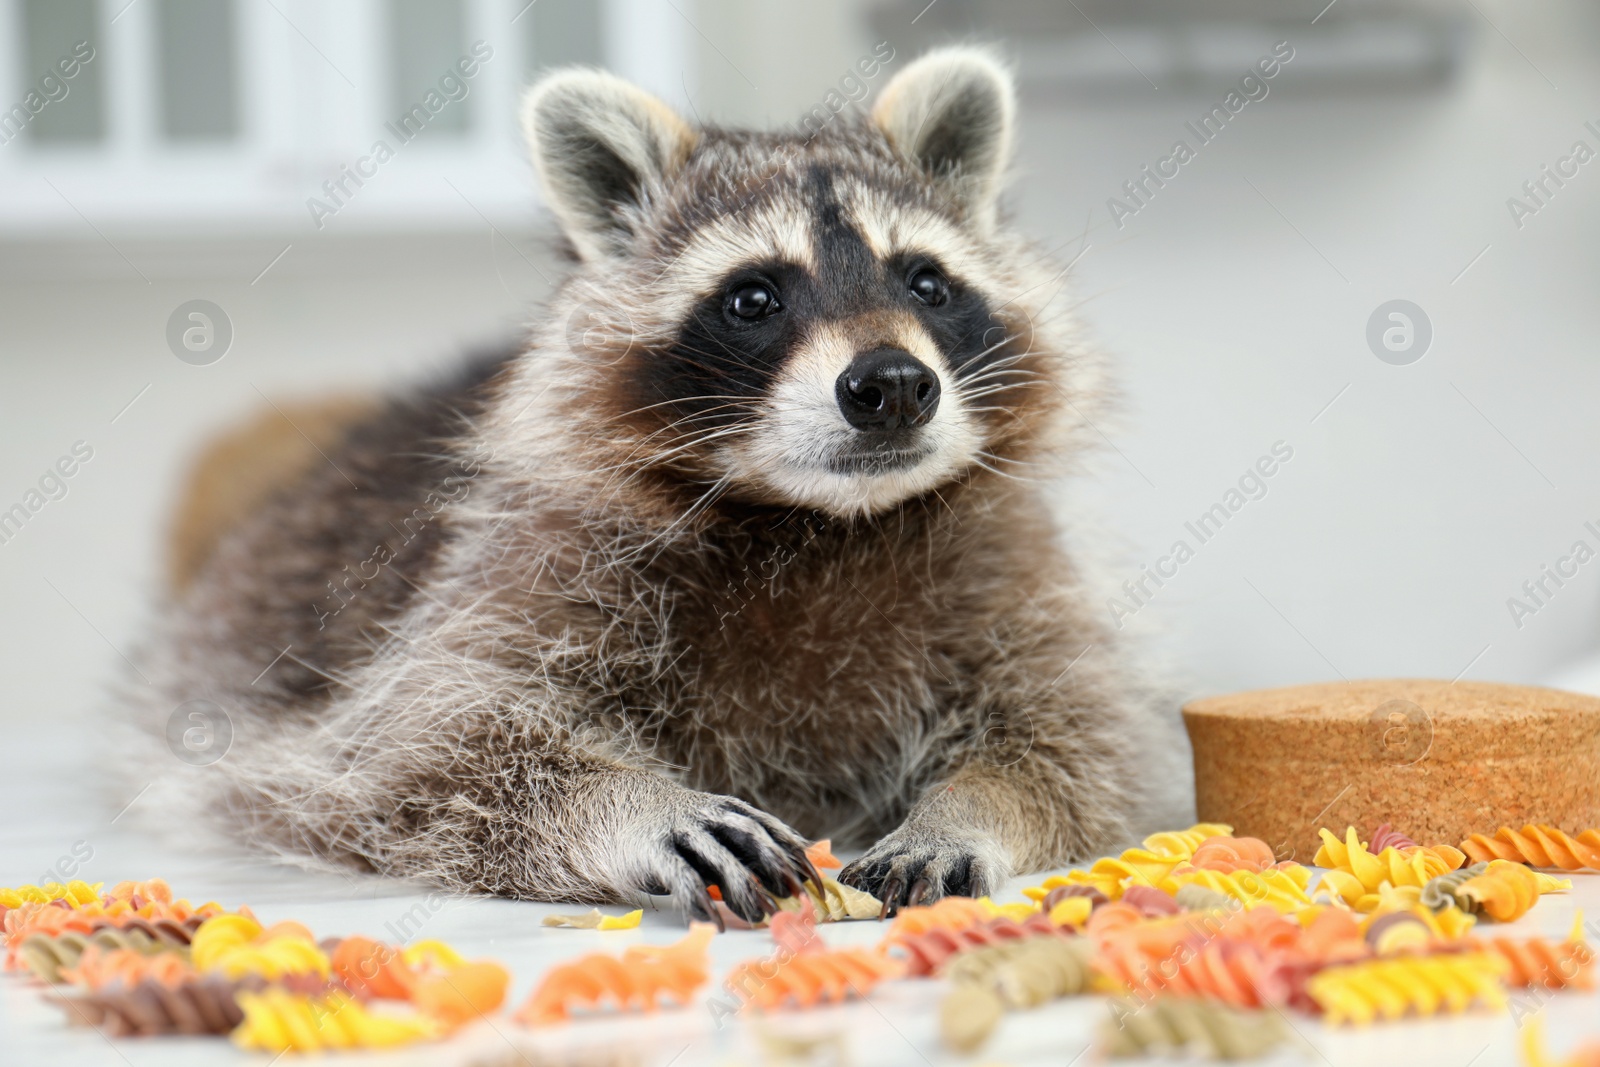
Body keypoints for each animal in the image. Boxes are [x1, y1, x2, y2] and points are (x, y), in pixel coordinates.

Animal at [134, 45, 1164, 921]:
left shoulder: (1007, 566)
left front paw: (968, 808)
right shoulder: (523, 564)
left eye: (926, 283)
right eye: (754, 297)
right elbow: (425, 746)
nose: (894, 386)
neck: (819, 519)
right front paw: (630, 802)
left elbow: (1080, 737)